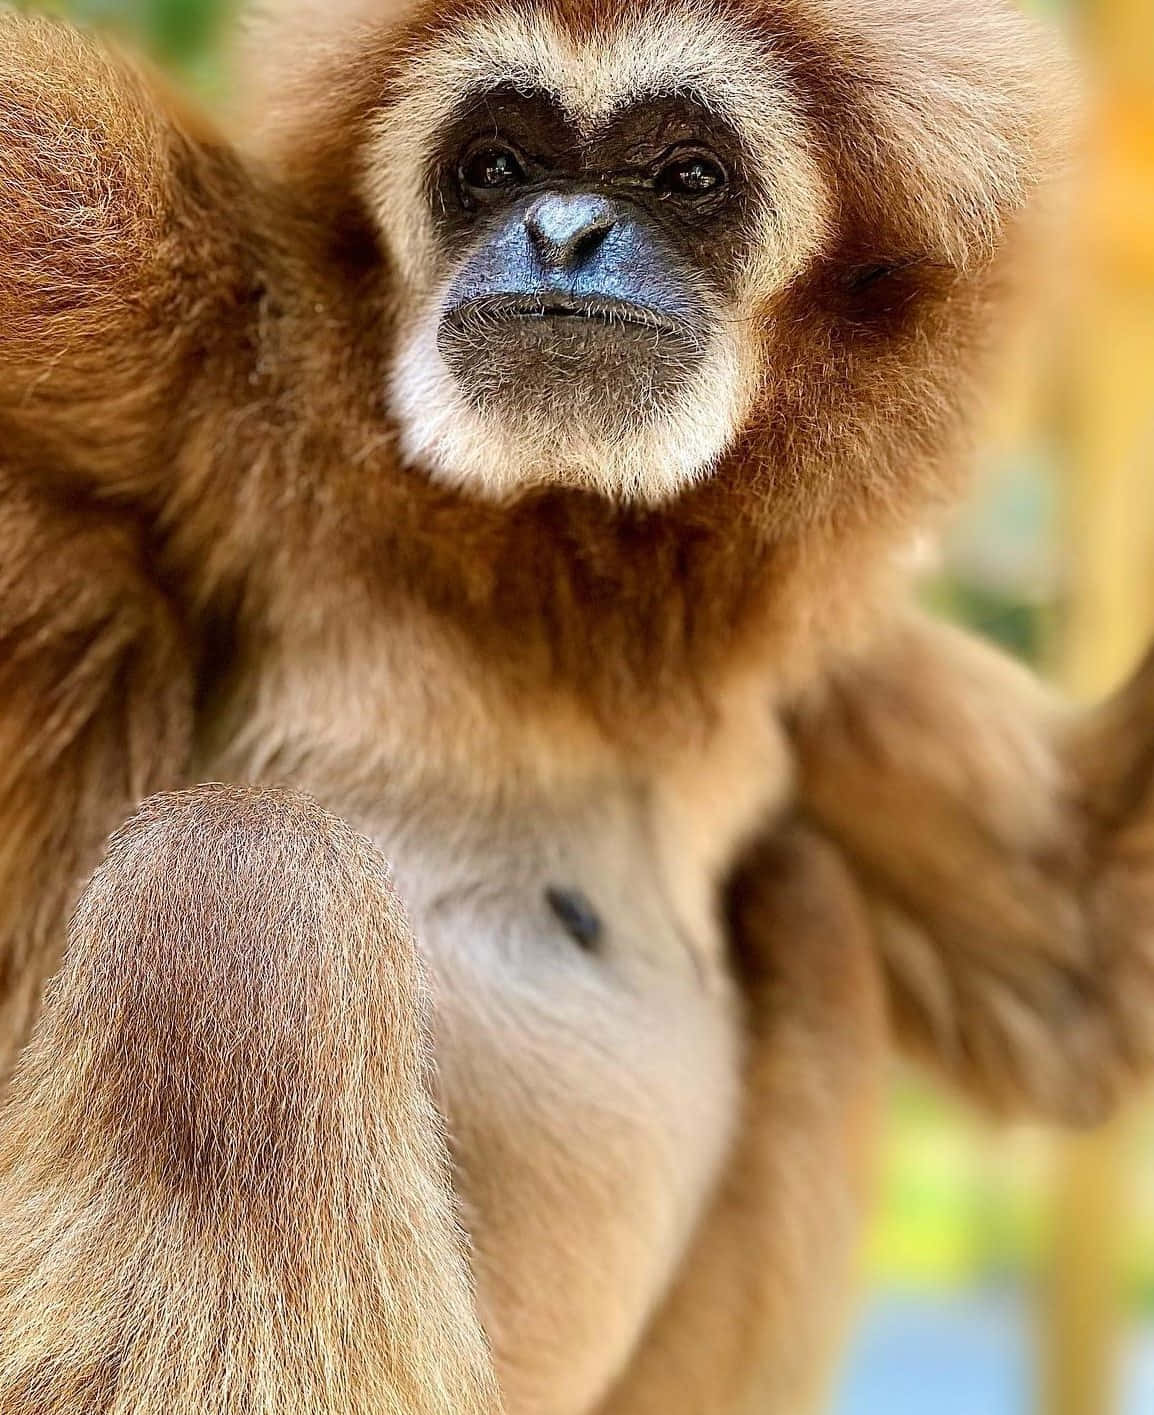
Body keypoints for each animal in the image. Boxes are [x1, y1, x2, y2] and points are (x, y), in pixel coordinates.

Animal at [1, 0, 1152, 1412]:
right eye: (493, 164)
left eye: (687, 175)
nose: (559, 231)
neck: (555, 585)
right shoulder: (175, 314)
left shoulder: (808, 649)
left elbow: (1088, 953)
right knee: (243, 883)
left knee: (804, 891)